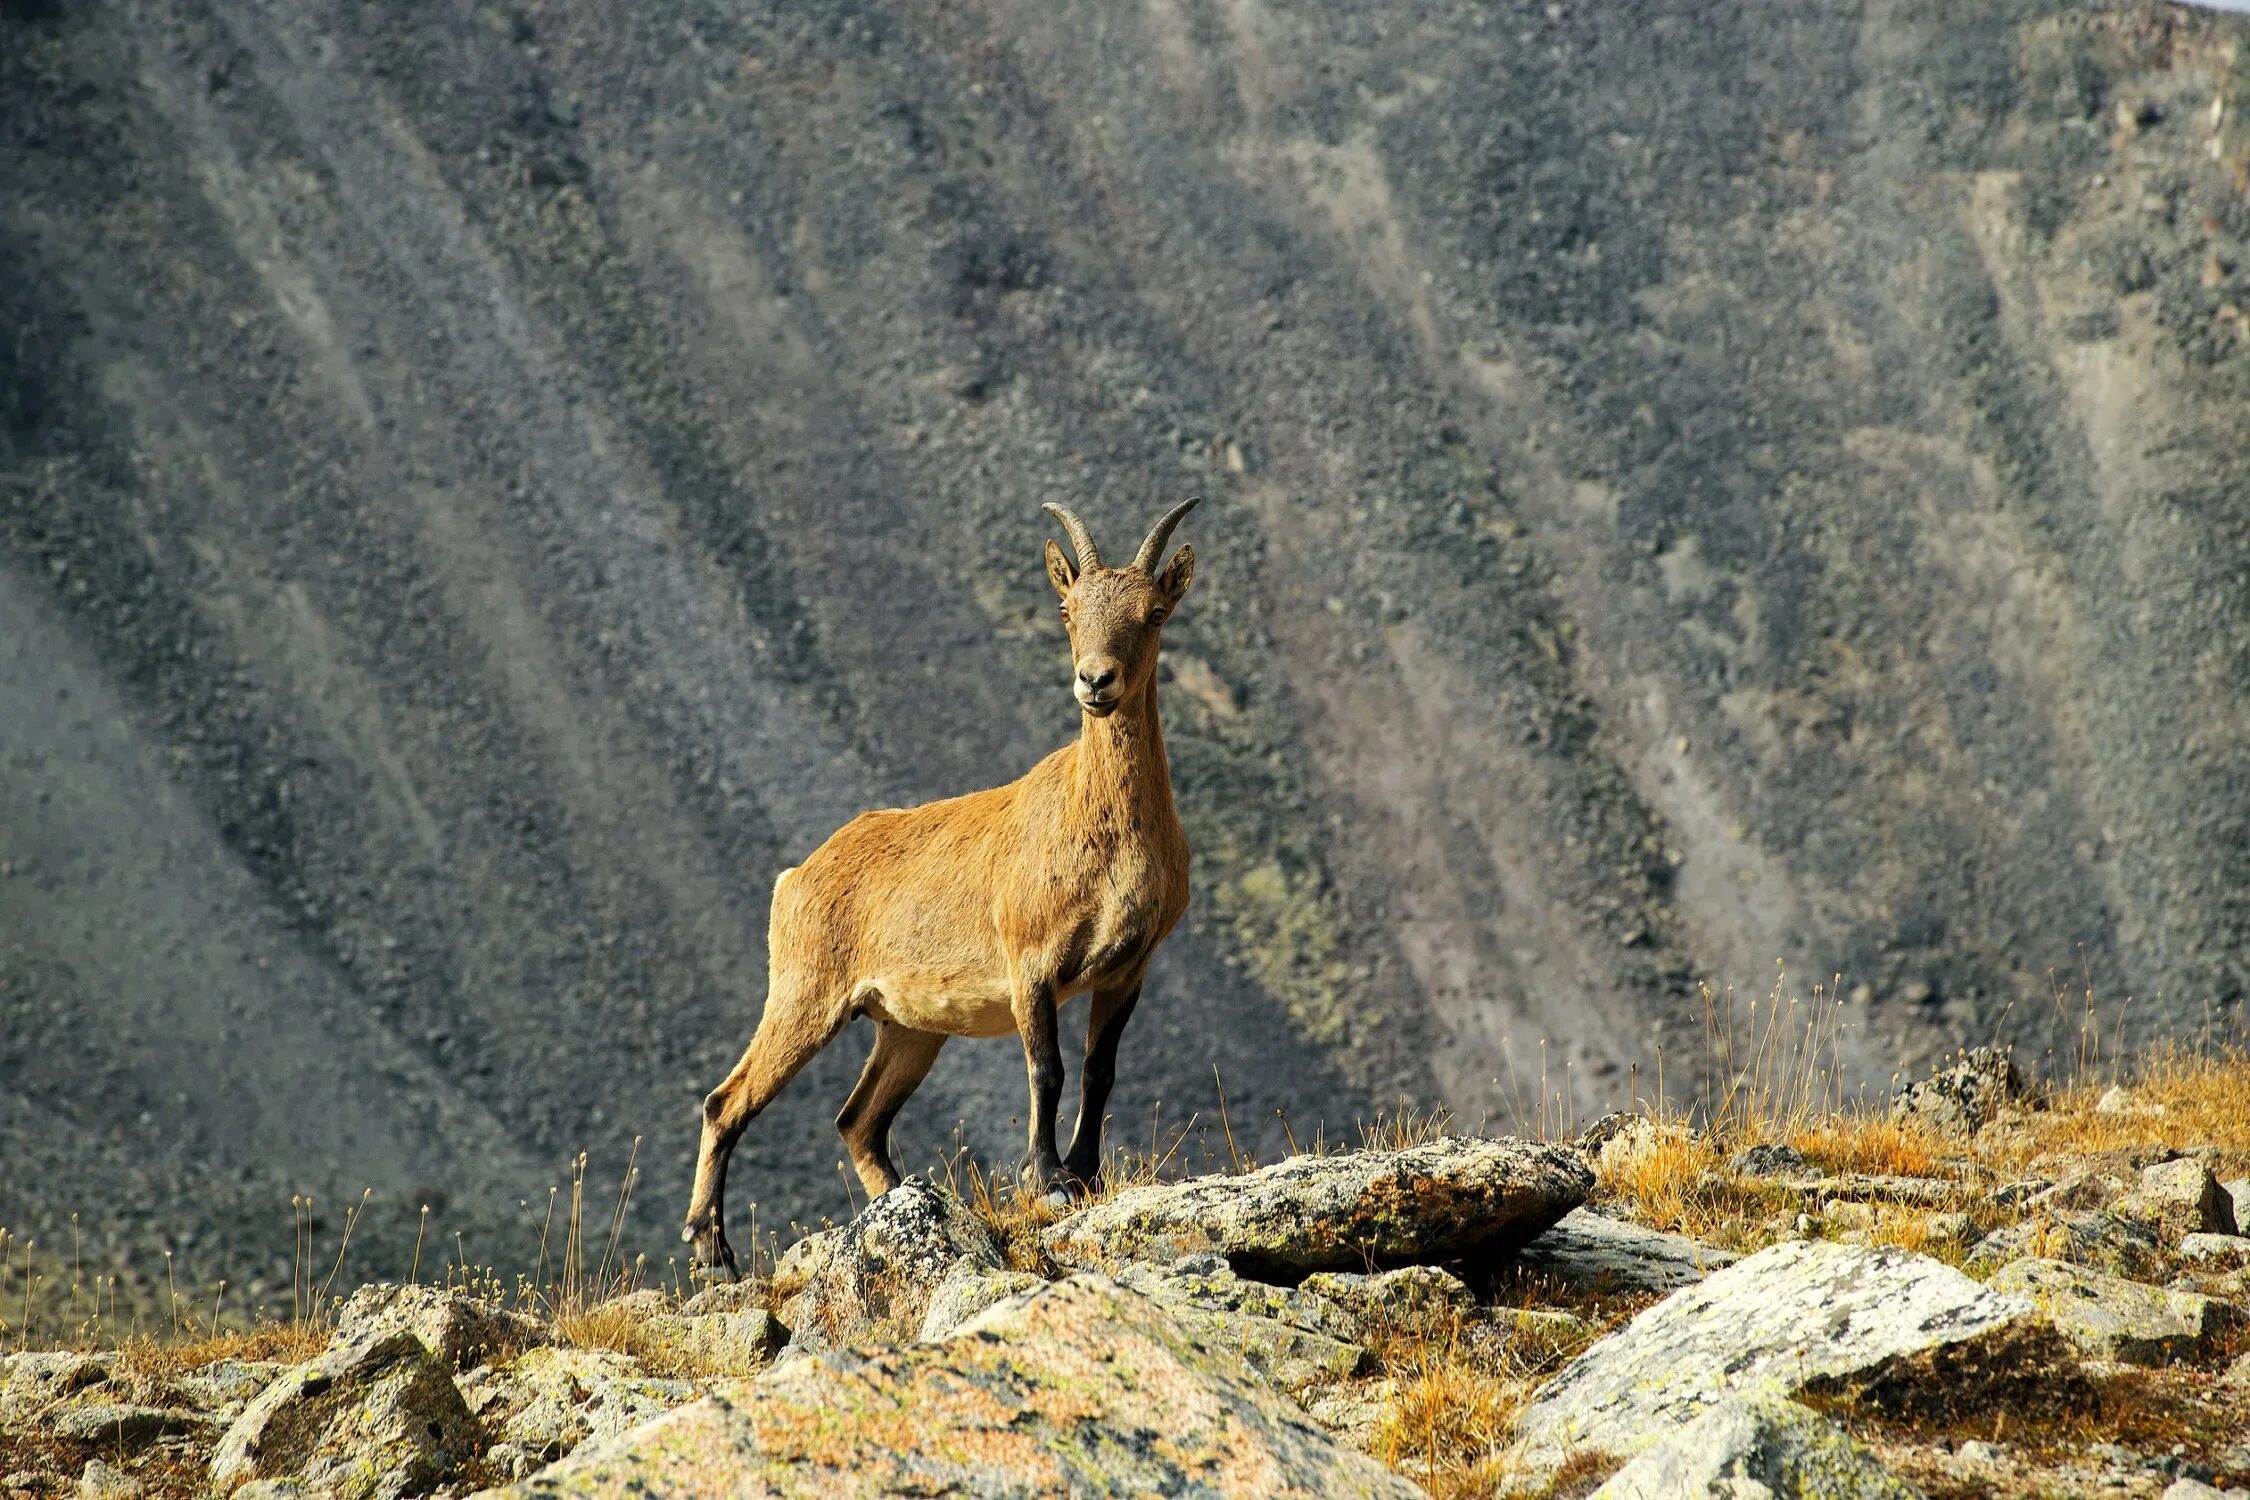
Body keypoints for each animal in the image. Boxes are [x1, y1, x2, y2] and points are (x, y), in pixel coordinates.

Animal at [679, 499, 1197, 1277]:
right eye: (1067, 607)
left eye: (1155, 611)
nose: (1096, 681)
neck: (1101, 829)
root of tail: (797, 876)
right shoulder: (1030, 962)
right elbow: (1046, 1069)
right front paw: (1046, 1179)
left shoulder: (1128, 969)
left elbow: (1099, 1070)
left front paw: (1086, 1172)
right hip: (806, 992)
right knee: (727, 1101)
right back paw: (712, 1250)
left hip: (907, 1028)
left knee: (858, 1122)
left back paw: (903, 1207)